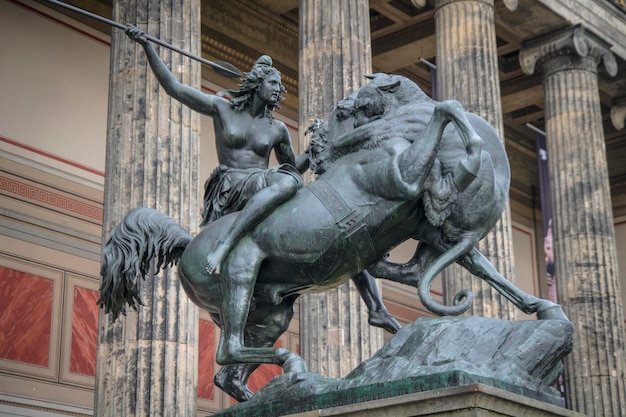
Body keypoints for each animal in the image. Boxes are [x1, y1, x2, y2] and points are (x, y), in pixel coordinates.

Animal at [98, 74, 564, 400]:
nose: (333, 115)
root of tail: (186, 244)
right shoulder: (403, 175)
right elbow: (445, 109)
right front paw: (466, 153)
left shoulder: (436, 233)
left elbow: (484, 270)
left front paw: (544, 309)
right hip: (242, 271)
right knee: (228, 349)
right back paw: (298, 368)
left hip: (271, 314)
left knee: (228, 372)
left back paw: (291, 384)